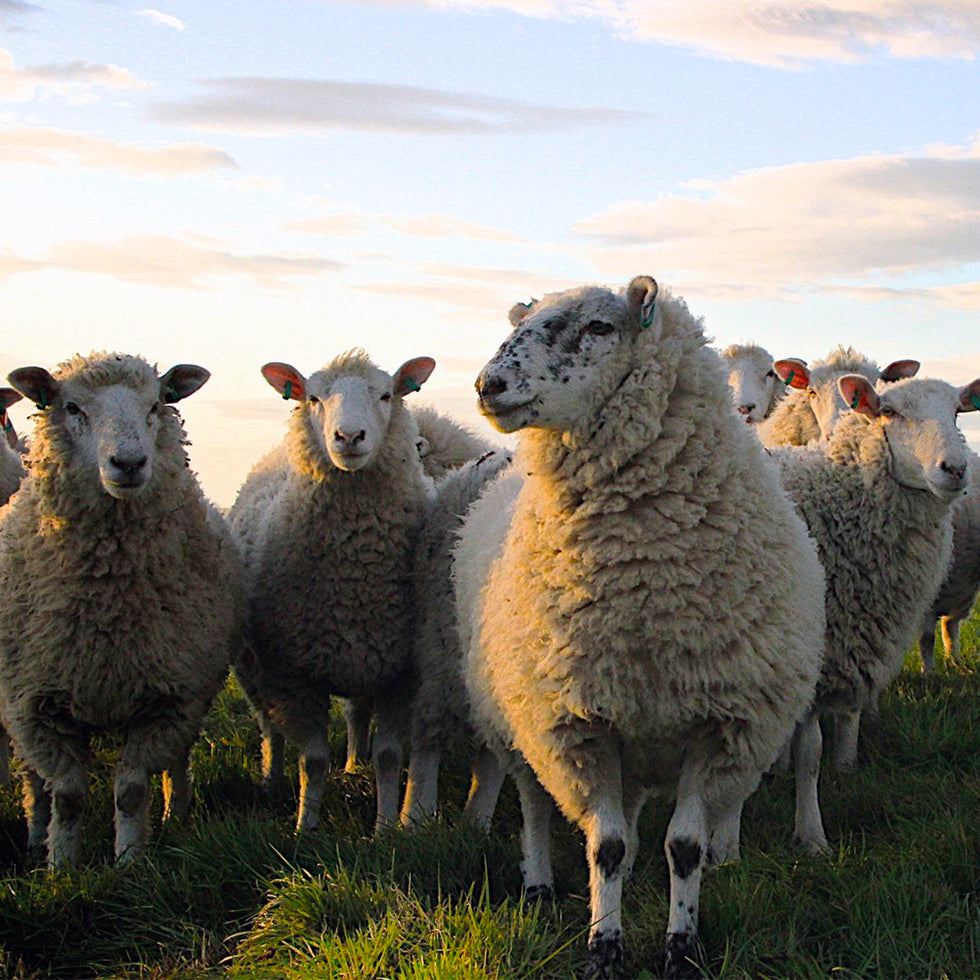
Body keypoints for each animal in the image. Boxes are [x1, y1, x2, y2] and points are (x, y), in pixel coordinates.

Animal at [0, 354, 241, 864]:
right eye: (71, 407)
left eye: (155, 405)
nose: (128, 463)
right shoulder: (36, 705)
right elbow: (67, 795)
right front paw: (62, 867)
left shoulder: (169, 699)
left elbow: (130, 790)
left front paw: (129, 861)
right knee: (35, 783)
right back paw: (34, 836)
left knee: (176, 763)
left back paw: (176, 816)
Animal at [228, 348, 434, 832]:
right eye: (314, 398)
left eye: (386, 394)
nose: (350, 436)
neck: (354, 574)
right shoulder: (291, 674)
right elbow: (314, 760)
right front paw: (306, 826)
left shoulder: (399, 672)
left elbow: (388, 755)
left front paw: (384, 828)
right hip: (254, 668)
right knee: (269, 729)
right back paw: (271, 781)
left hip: (361, 659)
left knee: (356, 715)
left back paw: (353, 765)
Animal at [456, 276, 824, 980]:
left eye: (599, 327)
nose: (489, 385)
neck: (643, 581)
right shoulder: (576, 724)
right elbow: (605, 847)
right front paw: (603, 948)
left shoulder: (719, 723)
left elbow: (681, 848)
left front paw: (682, 948)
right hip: (517, 715)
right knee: (536, 802)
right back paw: (539, 884)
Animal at [772, 372, 980, 852]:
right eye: (889, 412)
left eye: (957, 412)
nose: (955, 469)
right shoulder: (813, 650)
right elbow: (810, 750)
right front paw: (812, 836)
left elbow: (820, 740)